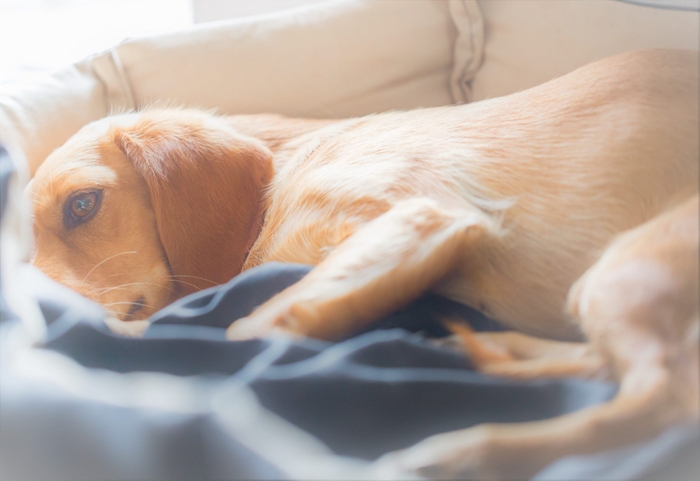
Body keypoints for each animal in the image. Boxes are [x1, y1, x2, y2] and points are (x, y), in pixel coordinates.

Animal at [28, 50, 700, 478]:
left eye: (83, 204)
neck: (285, 169)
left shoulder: (417, 219)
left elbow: (250, 325)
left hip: (621, 272)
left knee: (659, 396)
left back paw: (471, 452)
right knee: (605, 367)